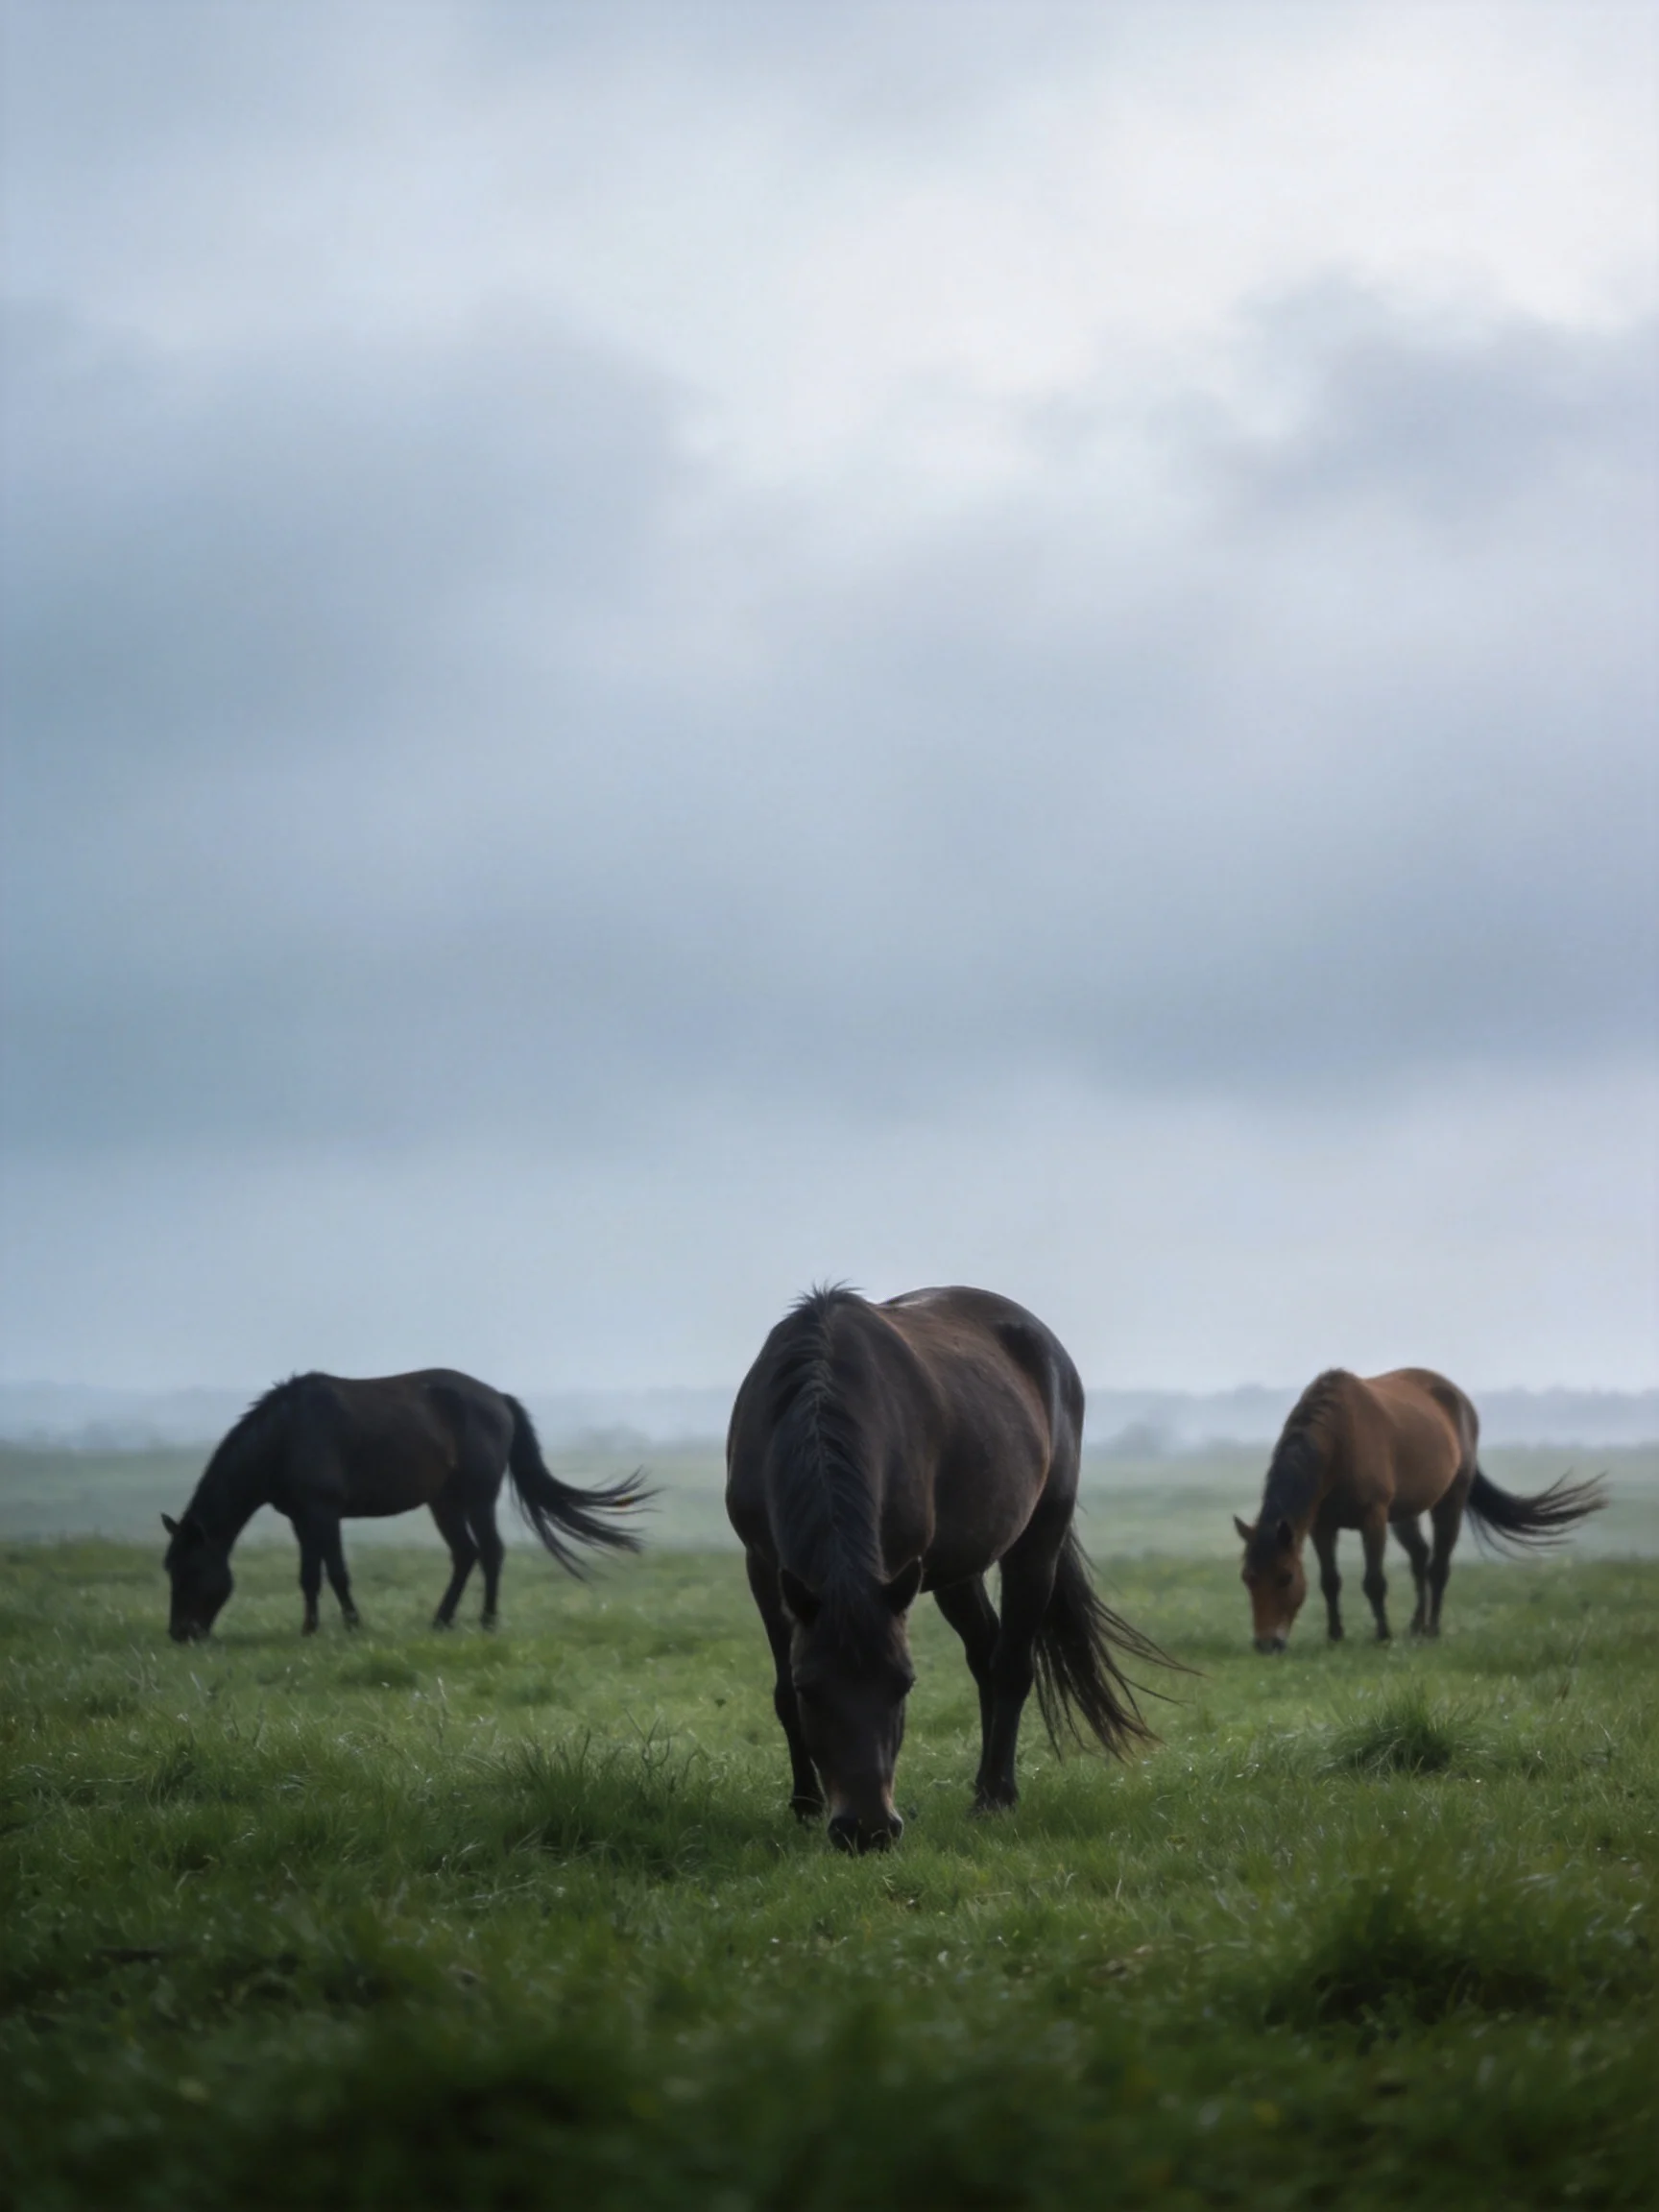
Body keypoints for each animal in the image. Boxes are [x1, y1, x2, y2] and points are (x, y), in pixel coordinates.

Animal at [162, 1370, 649, 1642]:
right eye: (170, 1569)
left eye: (191, 1570)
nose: (181, 1634)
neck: (285, 1435)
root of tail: (499, 1399)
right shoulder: (302, 1518)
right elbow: (309, 1576)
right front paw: (309, 1629)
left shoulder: (323, 1512)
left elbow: (336, 1572)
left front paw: (352, 1626)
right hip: (444, 1501)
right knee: (465, 1554)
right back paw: (441, 1621)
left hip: (478, 1495)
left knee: (490, 1552)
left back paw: (487, 1621)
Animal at [726, 1284, 1169, 1852]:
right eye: (811, 1689)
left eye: (904, 1684)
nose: (868, 1831)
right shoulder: (764, 1568)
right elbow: (781, 1692)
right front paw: (804, 1803)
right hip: (957, 1570)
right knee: (985, 1652)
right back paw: (982, 1783)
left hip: (1036, 1543)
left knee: (1010, 1665)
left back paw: (995, 1796)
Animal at [1234, 1367, 1607, 1652]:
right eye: (1248, 1578)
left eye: (1285, 1577)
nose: (1266, 1644)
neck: (1339, 1441)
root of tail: (1459, 1399)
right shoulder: (1321, 1525)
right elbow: (1330, 1581)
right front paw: (1335, 1635)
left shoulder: (1373, 1517)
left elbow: (1374, 1581)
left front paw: (1383, 1635)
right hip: (1405, 1513)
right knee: (1420, 1557)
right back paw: (1416, 1625)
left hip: (1449, 1501)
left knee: (1438, 1565)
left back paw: (1431, 1629)